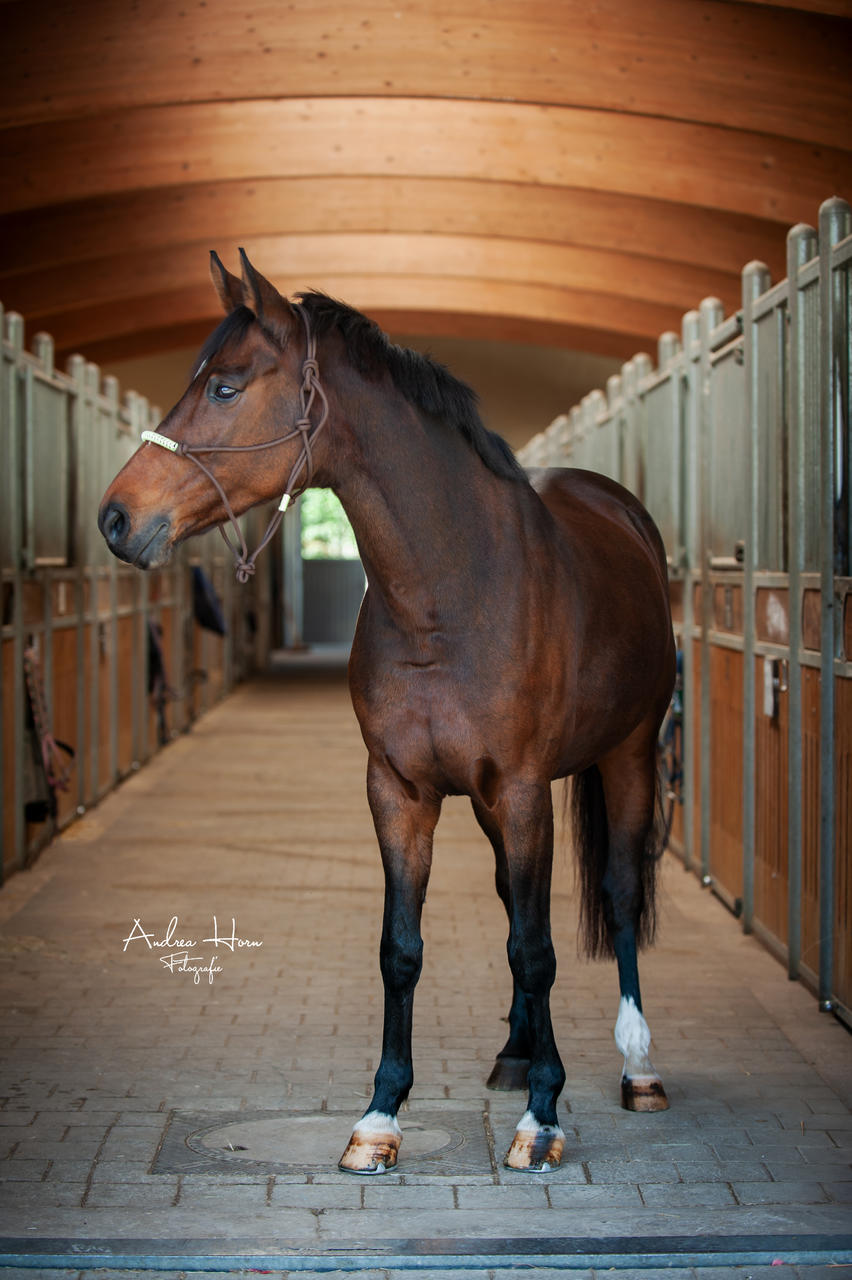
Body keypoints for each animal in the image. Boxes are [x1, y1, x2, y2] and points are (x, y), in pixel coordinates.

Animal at [97, 247, 670, 1172]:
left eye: (223, 387)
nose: (116, 518)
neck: (451, 590)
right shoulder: (400, 792)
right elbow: (403, 950)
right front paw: (380, 1116)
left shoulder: (522, 790)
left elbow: (537, 948)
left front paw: (544, 1118)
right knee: (514, 902)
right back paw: (515, 1054)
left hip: (628, 754)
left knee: (617, 895)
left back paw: (638, 1068)